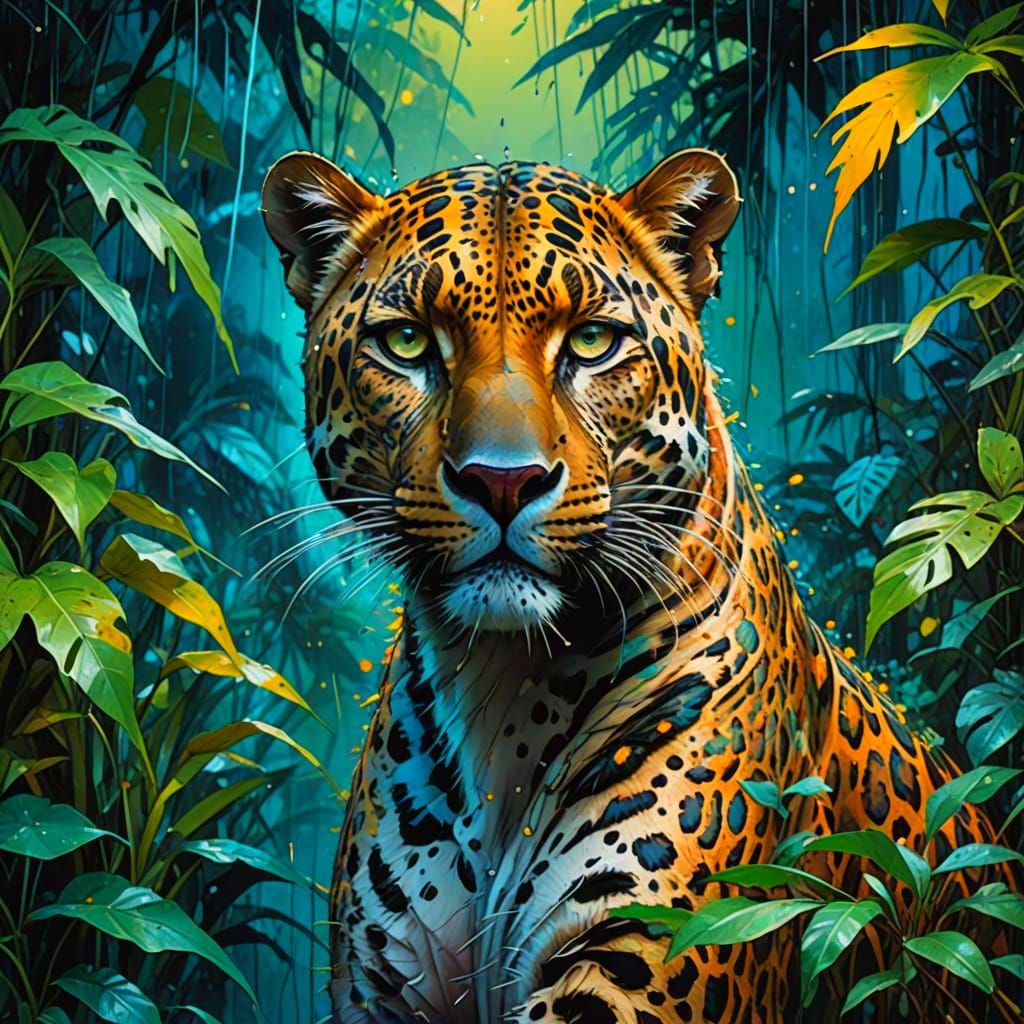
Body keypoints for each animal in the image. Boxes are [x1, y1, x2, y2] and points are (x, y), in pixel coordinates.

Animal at [261, 148, 1013, 1023]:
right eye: (408, 341)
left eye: (591, 340)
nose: (502, 480)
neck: (499, 689)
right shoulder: (388, 983)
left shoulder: (646, 958)